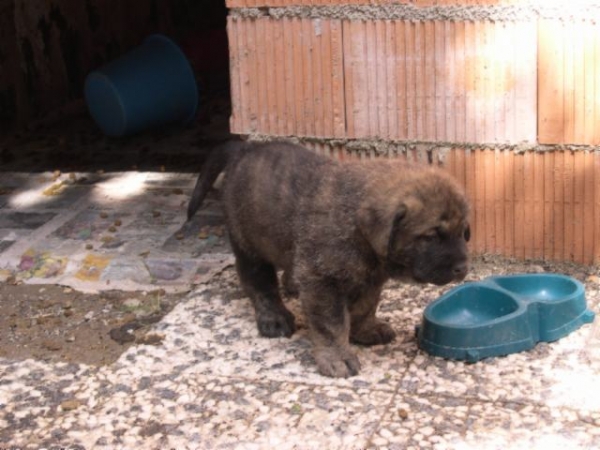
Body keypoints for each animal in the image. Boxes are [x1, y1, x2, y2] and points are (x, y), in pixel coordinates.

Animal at [188, 140, 468, 376]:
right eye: (431, 236)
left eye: (464, 232)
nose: (462, 268)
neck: (358, 231)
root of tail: (244, 147)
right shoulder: (323, 282)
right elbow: (331, 324)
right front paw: (337, 357)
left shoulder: (369, 279)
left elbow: (365, 307)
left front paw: (365, 330)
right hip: (249, 243)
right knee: (259, 283)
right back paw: (273, 317)